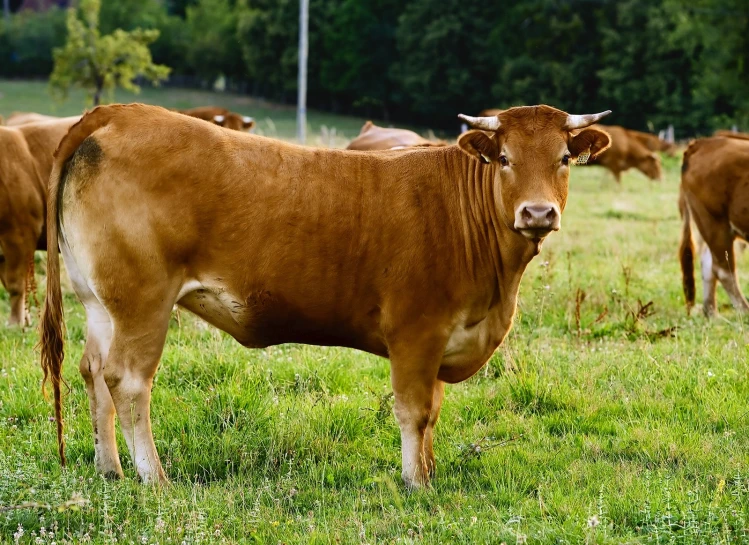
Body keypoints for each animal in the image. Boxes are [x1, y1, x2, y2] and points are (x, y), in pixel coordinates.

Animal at [41, 104, 612, 486]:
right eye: (506, 159)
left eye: (564, 157)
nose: (538, 213)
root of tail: (121, 114)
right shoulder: (416, 332)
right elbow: (414, 410)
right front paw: (416, 483)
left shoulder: (441, 339)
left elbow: (433, 410)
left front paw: (428, 470)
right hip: (144, 303)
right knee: (128, 380)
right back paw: (153, 476)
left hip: (100, 304)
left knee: (94, 372)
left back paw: (110, 468)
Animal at [676, 132, 748, 316]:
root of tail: (704, 143)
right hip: (714, 221)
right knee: (723, 270)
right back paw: (744, 310)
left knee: (708, 263)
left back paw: (711, 312)